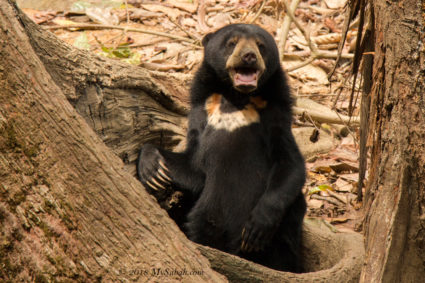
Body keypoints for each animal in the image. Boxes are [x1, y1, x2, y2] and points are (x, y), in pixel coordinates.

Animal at [137, 23, 306, 272]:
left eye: (260, 46)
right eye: (231, 43)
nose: (249, 56)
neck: (236, 98)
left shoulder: (276, 116)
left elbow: (291, 164)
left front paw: (256, 228)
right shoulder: (202, 112)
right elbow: (192, 166)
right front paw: (154, 170)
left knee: (289, 231)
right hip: (205, 215)